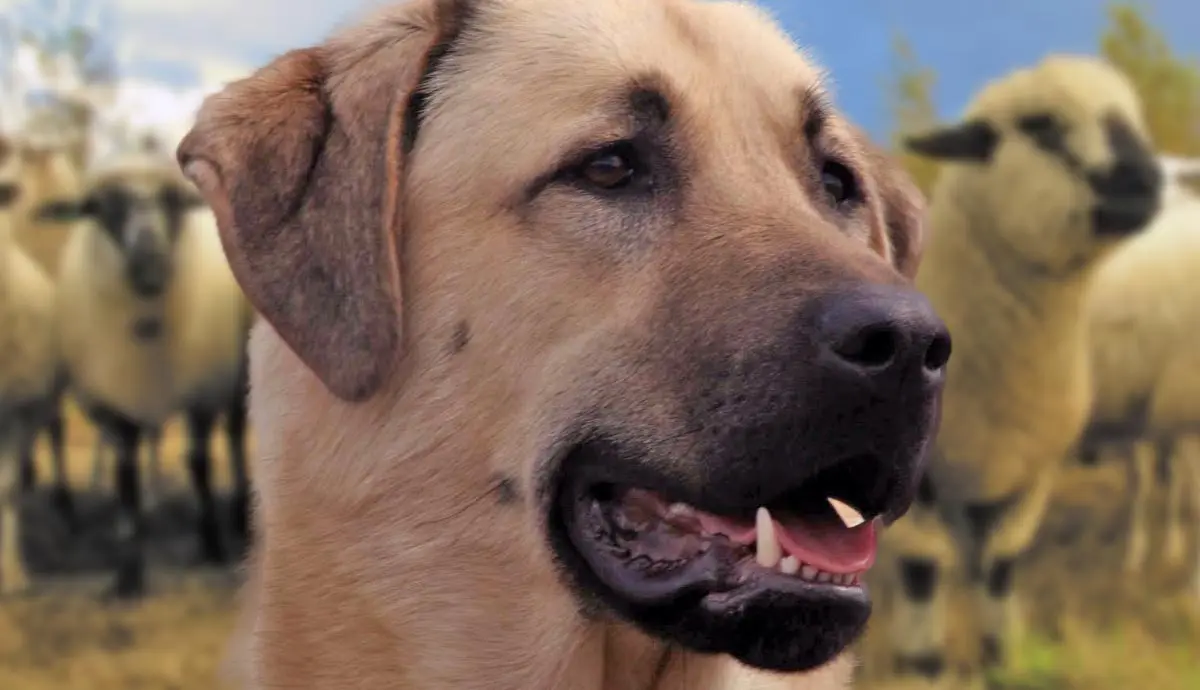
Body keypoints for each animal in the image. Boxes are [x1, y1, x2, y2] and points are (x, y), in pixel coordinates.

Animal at [39, 152, 254, 600]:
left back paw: (239, 513)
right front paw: (127, 575)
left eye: (173, 202)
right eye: (103, 208)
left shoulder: (201, 394)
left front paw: (211, 544)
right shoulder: (112, 407)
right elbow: (126, 483)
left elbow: (199, 465)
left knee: (235, 435)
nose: (151, 267)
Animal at [878, 55, 1166, 686]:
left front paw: (997, 662)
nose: (1147, 182)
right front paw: (924, 666)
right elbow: (923, 574)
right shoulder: (922, 485)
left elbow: (1000, 573)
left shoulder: (1028, 477)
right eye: (1042, 126)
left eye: (1133, 116)